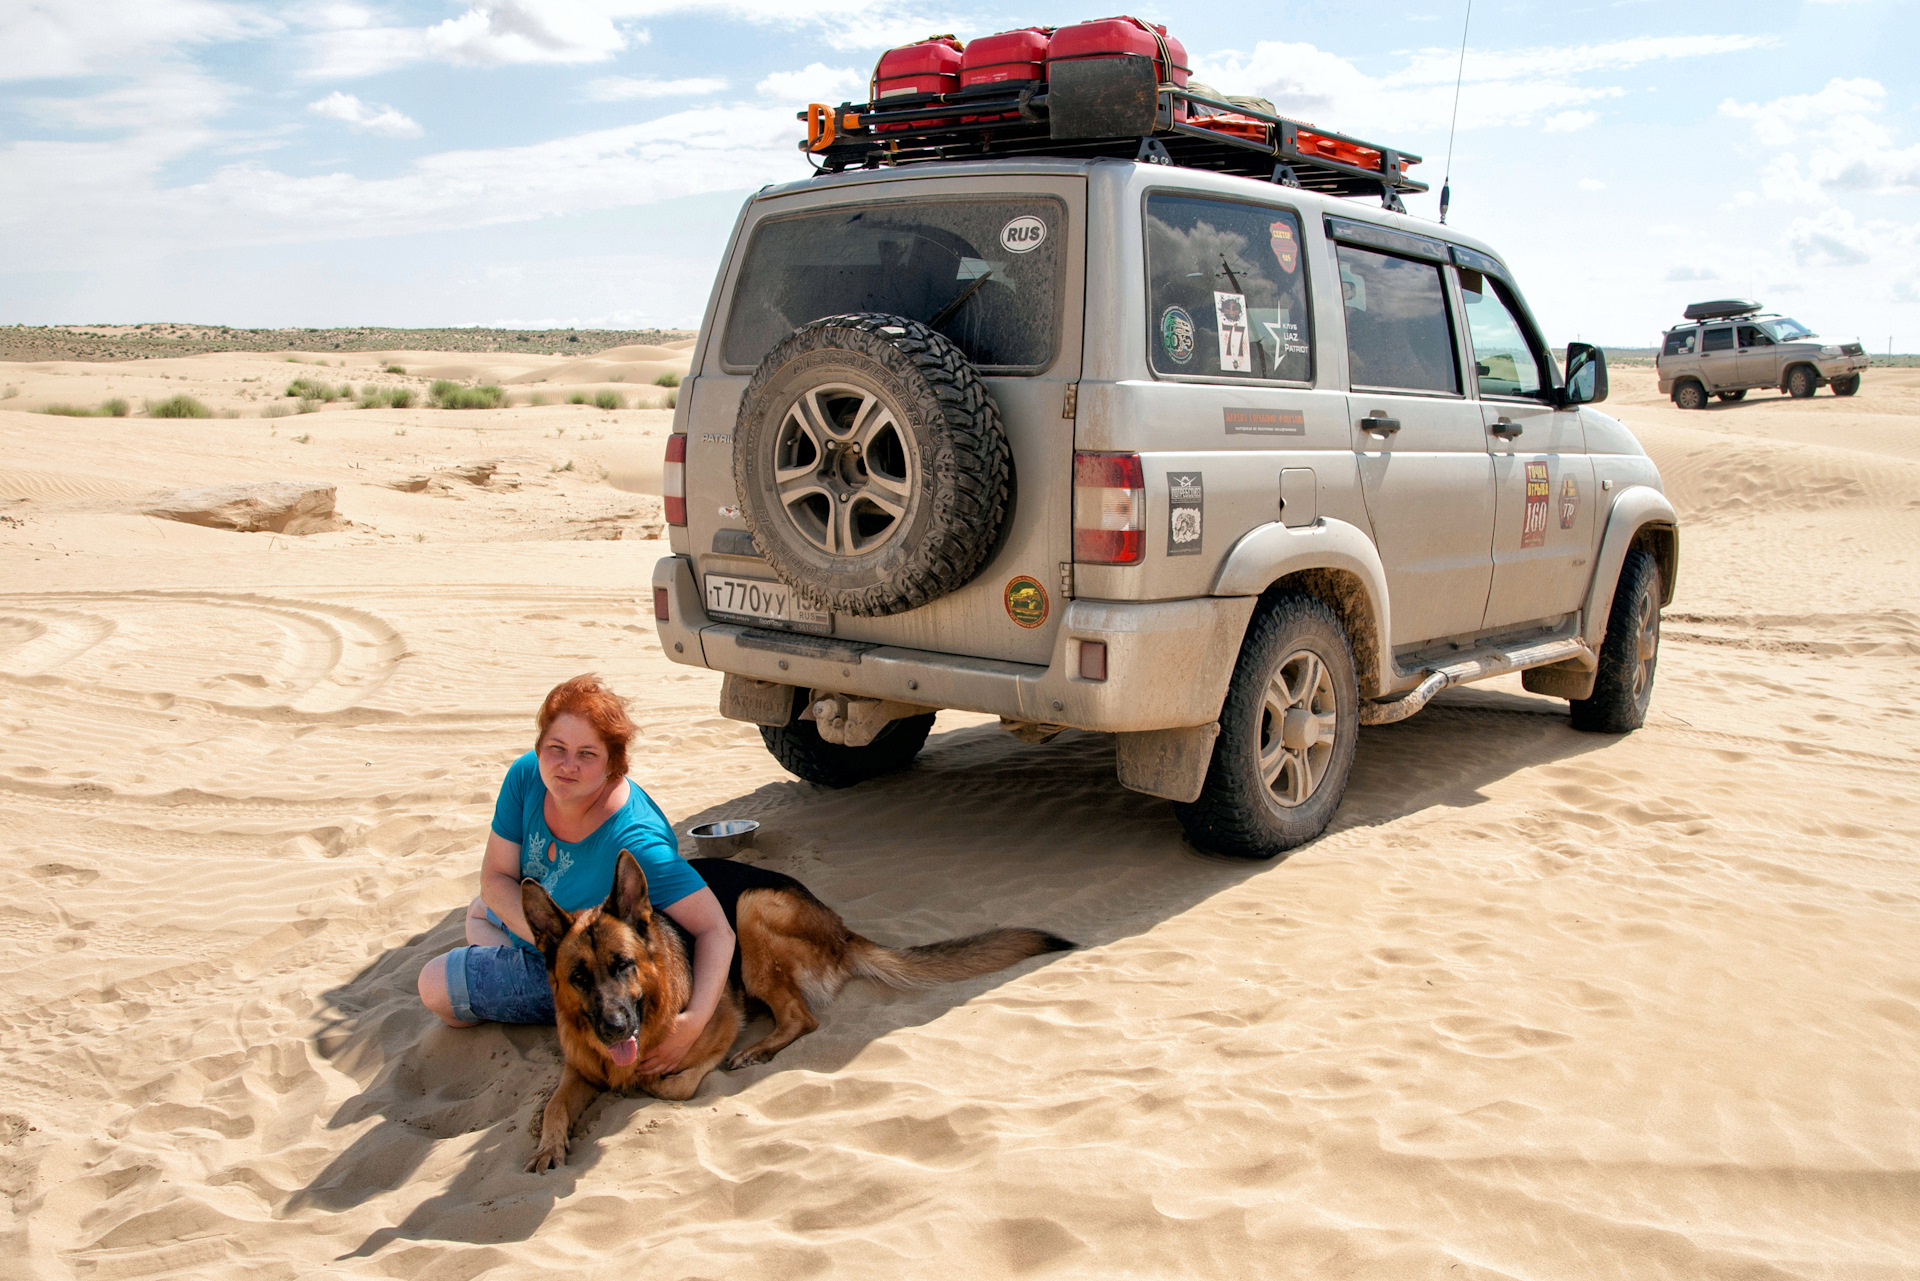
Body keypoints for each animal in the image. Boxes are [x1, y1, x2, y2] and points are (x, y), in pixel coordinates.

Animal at [518, 852, 1075, 1175]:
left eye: (624, 964)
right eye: (579, 977)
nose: (615, 1028)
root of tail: (840, 928)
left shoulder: (719, 1019)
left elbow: (672, 1082)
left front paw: (652, 1079)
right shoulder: (579, 1069)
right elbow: (554, 1106)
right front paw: (549, 1146)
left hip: (749, 909)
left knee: (802, 1018)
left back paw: (756, 1051)